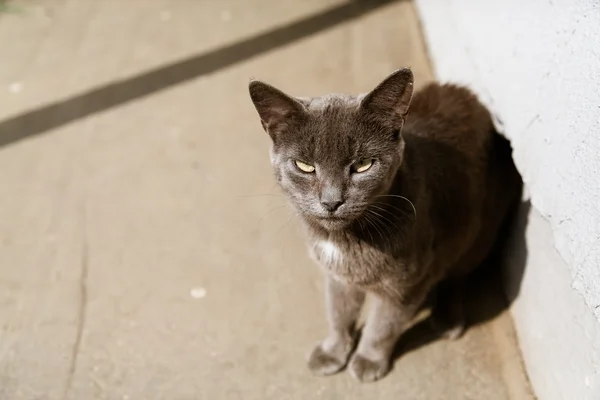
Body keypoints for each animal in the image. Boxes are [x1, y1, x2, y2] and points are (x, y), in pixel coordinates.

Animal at [248, 69, 520, 382]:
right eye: (304, 166)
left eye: (363, 165)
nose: (331, 201)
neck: (345, 239)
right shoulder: (336, 276)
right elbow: (338, 312)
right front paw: (332, 352)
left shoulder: (407, 284)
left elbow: (383, 325)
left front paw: (368, 360)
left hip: (477, 233)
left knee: (456, 274)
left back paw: (447, 319)